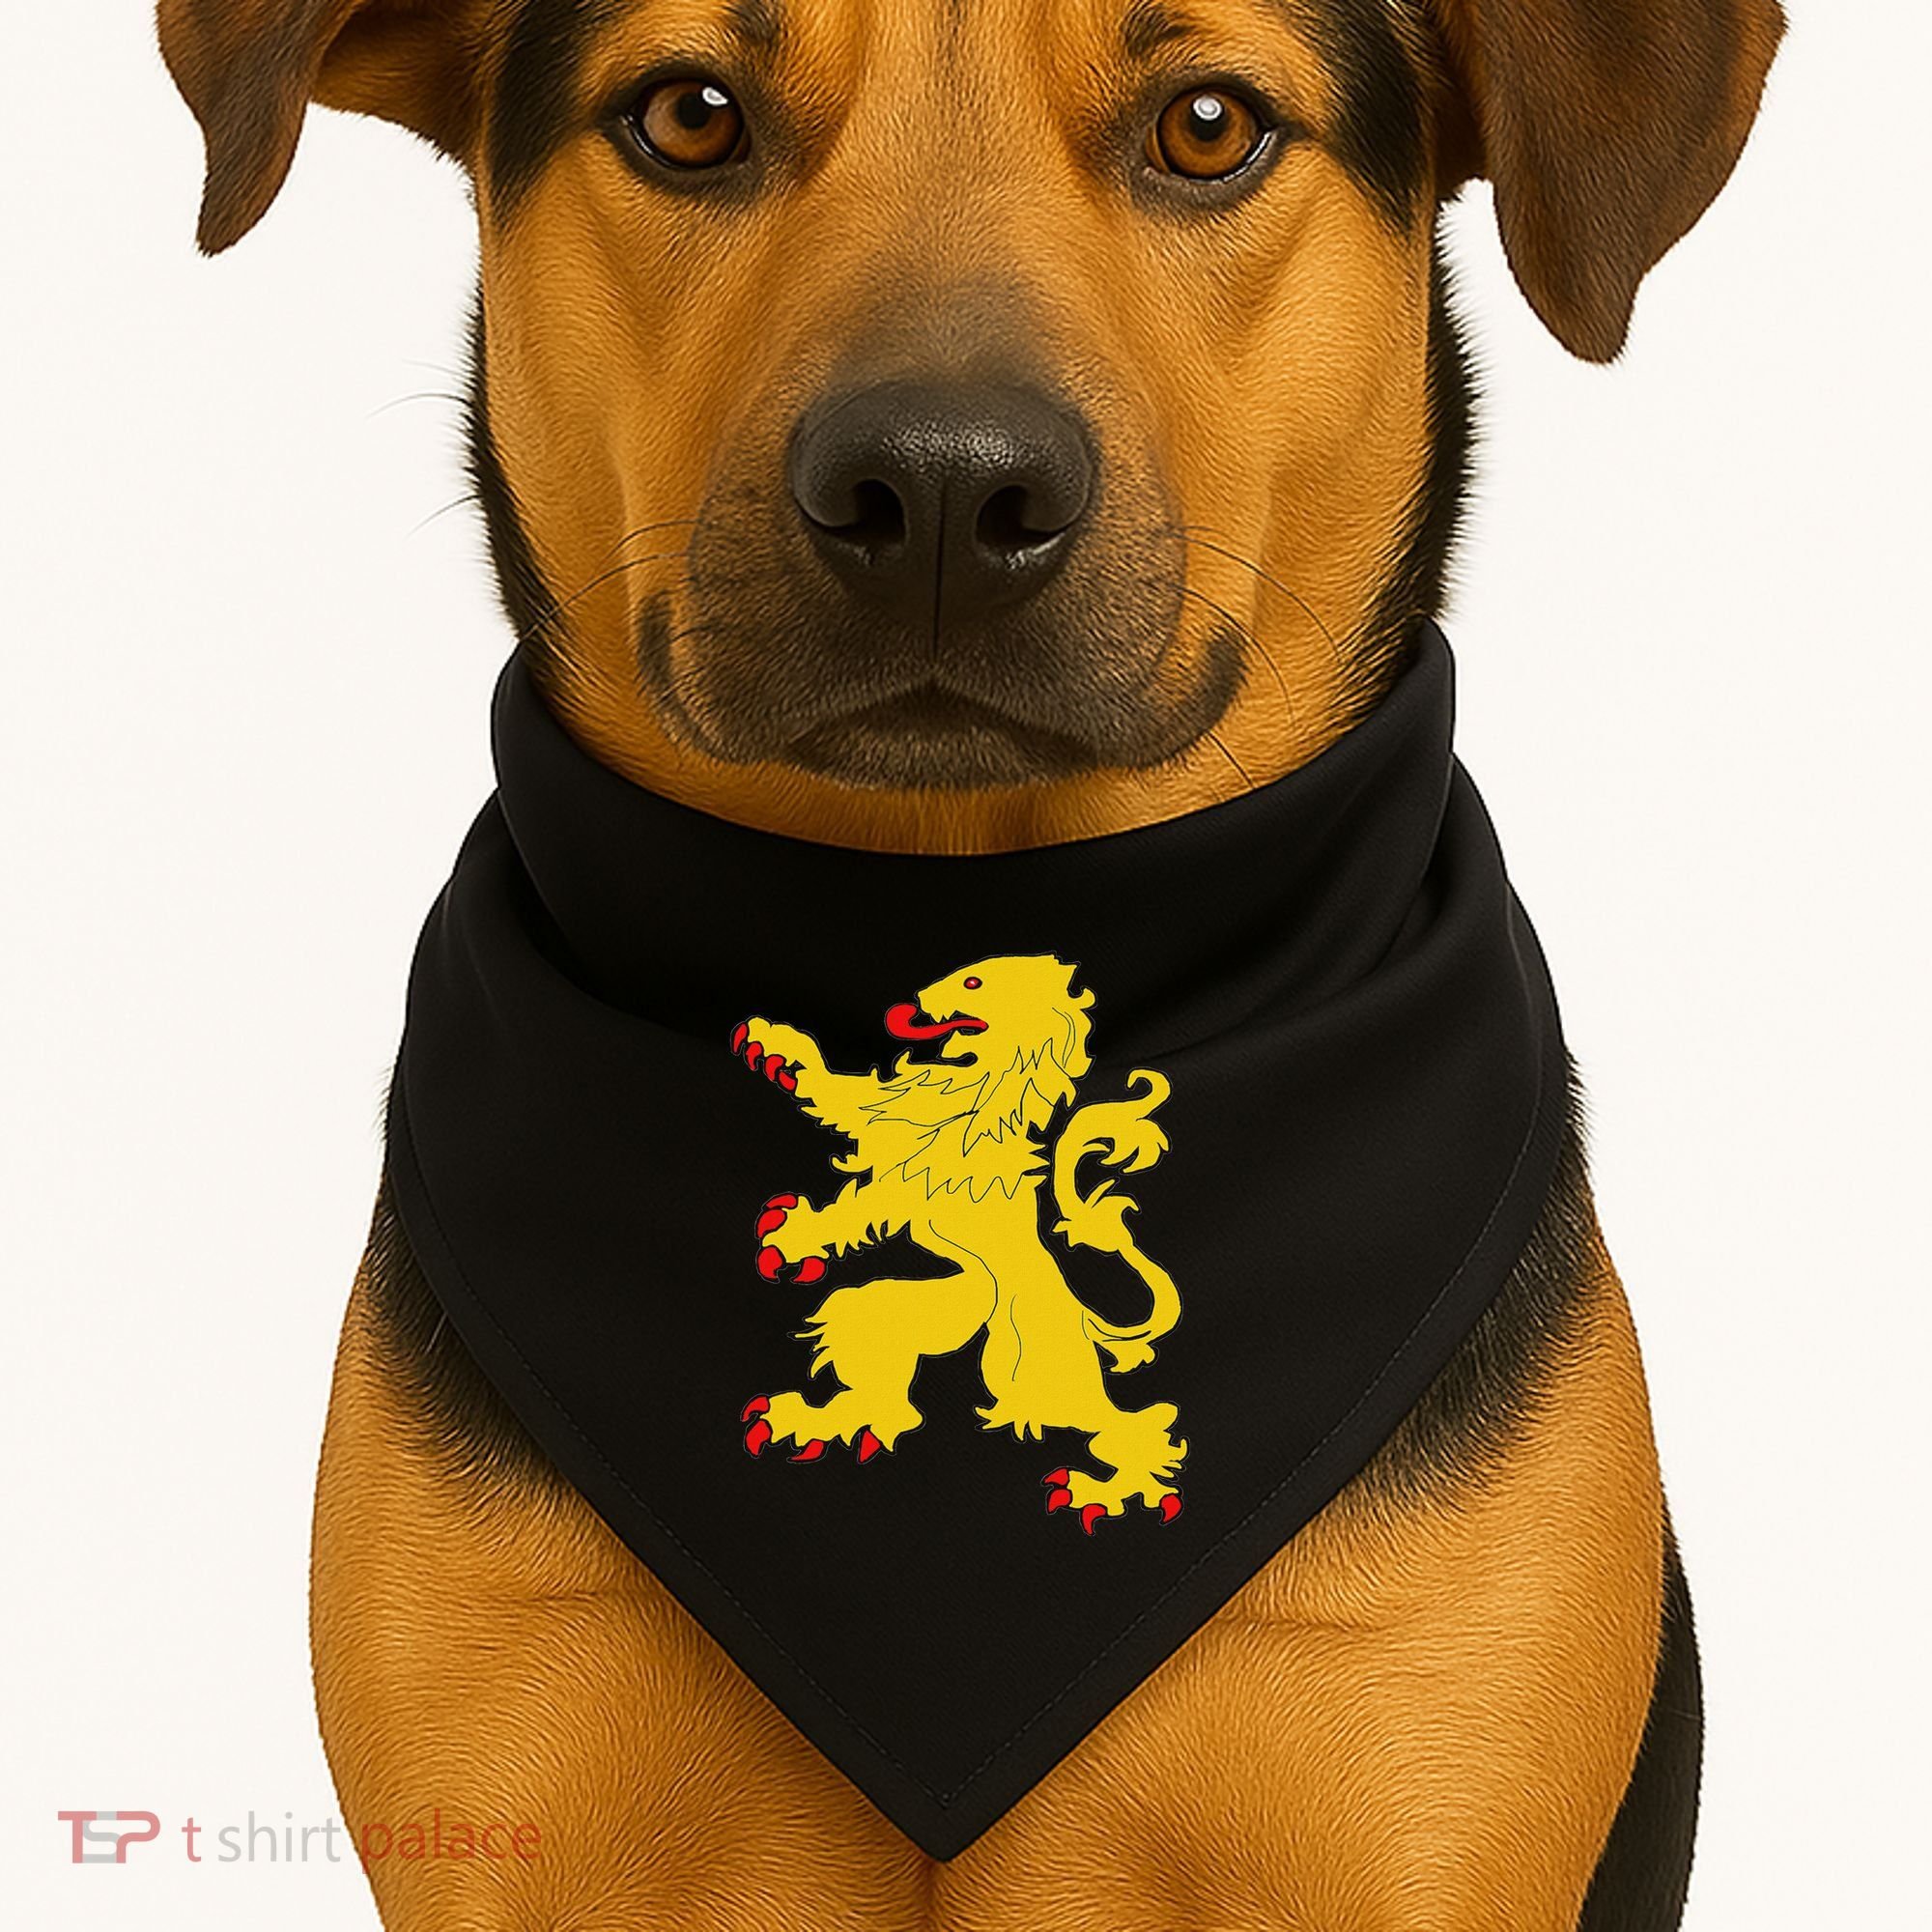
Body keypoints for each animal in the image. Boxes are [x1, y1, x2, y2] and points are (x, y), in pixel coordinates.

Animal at [730, 954, 1186, 1529]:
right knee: (891, 1392)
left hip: (1033, 1368)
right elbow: (836, 1091)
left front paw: (794, 1237)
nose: (919, 997)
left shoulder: (912, 1177)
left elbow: (857, 1206)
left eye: (972, 981)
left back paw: (1097, 1493)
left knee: (1129, 1425)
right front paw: (775, 1045)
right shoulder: (887, 1122)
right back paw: (805, 1422)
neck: (982, 1082)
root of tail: (1085, 1317)